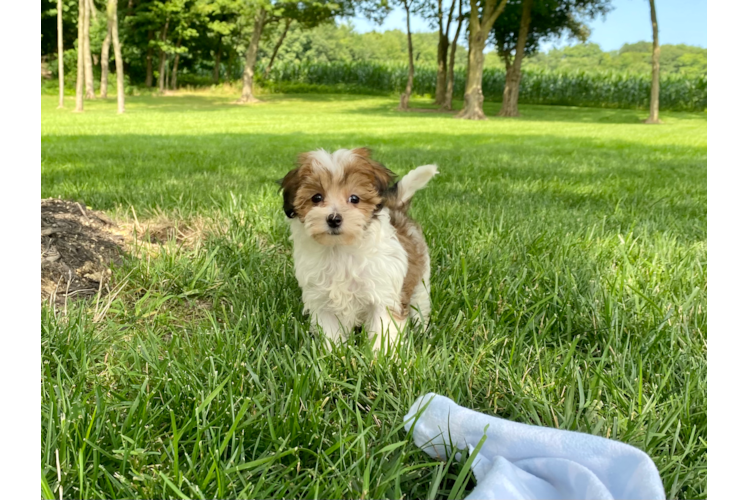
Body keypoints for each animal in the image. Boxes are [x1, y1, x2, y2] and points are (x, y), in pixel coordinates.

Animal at [282, 148, 442, 352]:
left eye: (354, 198)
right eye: (316, 197)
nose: (334, 219)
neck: (340, 249)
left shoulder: (384, 296)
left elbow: (384, 330)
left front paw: (383, 357)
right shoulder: (323, 301)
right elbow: (330, 332)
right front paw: (333, 354)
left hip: (420, 280)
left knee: (420, 304)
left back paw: (423, 330)